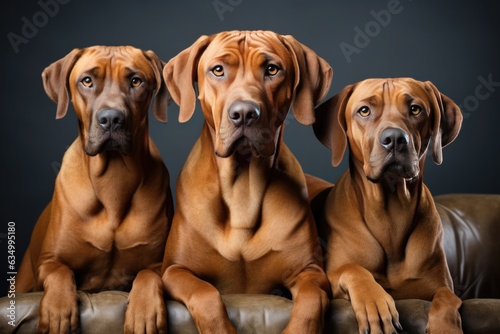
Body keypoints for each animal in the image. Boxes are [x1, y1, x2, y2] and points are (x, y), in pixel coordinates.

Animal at [16, 45, 173, 332]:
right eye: (87, 81)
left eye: (136, 81)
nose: (111, 118)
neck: (112, 179)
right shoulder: (49, 261)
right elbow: (60, 272)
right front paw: (58, 311)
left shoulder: (160, 264)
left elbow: (147, 276)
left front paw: (144, 312)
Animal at [160, 30, 332, 332]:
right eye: (218, 70)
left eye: (272, 69)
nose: (244, 113)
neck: (242, 190)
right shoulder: (174, 270)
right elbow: (205, 292)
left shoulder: (311, 271)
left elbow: (311, 300)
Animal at [312, 77, 464, 332]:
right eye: (364, 110)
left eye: (415, 109)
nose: (394, 139)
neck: (391, 212)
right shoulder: (332, 276)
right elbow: (353, 269)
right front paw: (373, 302)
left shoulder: (439, 285)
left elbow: (447, 298)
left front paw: (445, 327)